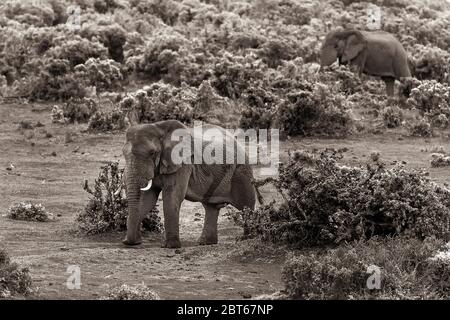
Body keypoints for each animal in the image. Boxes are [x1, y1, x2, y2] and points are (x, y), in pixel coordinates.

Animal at [121, 120, 258, 248]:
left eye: (152, 153)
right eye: (123, 154)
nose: (127, 242)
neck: (159, 127)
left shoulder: (182, 162)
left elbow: (172, 196)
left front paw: (170, 246)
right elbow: (148, 200)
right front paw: (132, 242)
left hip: (241, 171)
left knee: (246, 206)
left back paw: (248, 238)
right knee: (211, 207)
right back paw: (205, 243)